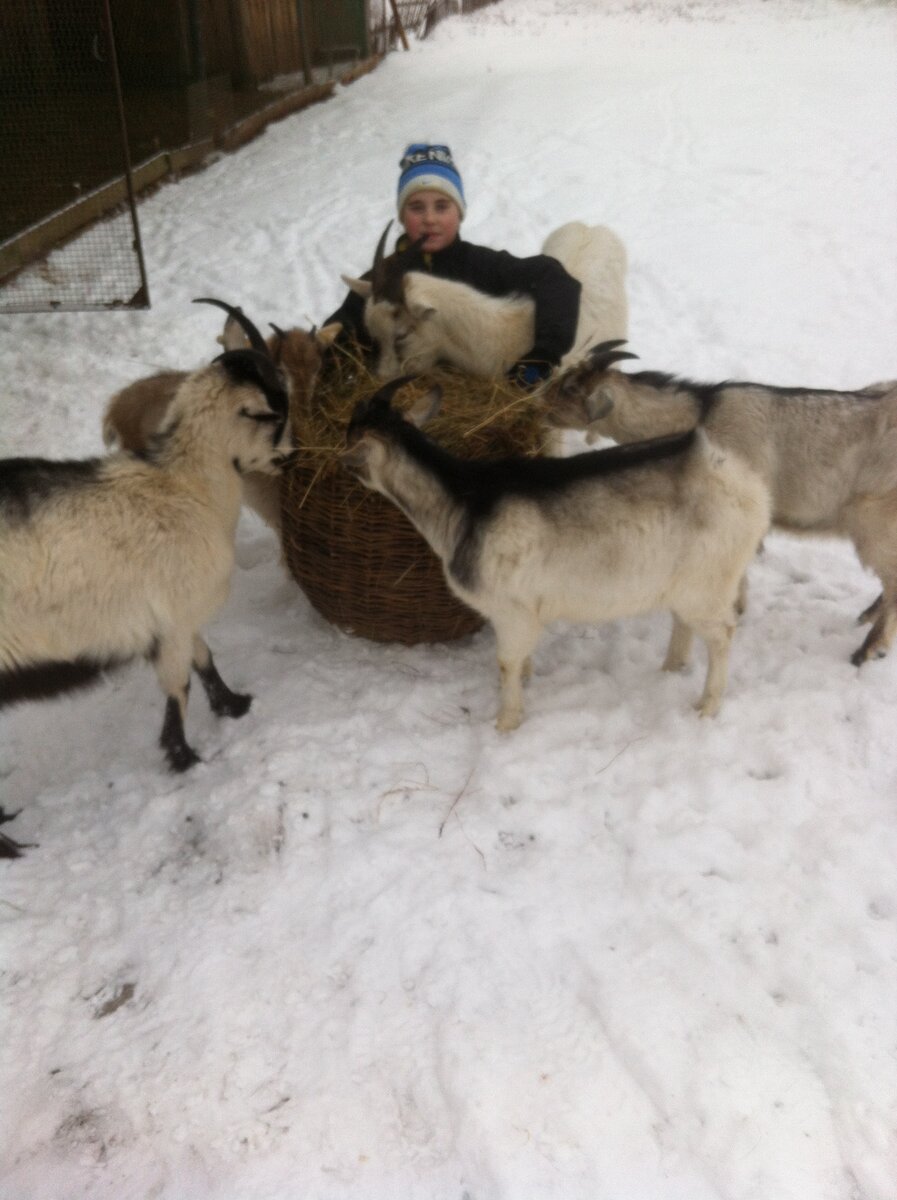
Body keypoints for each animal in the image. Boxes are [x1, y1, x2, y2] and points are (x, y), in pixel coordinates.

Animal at [0, 297, 296, 777]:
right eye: (280, 409)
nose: (291, 458)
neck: (186, 486)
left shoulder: (181, 618)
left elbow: (205, 659)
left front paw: (234, 704)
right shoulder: (171, 621)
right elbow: (180, 689)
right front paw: (186, 759)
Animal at [340, 379, 767, 729]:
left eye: (350, 439)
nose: (341, 462)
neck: (464, 503)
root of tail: (748, 488)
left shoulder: (511, 611)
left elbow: (506, 663)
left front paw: (506, 723)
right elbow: (520, 661)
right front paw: (527, 681)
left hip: (707, 586)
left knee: (723, 635)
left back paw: (706, 707)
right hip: (685, 586)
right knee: (685, 623)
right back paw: (670, 667)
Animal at [542, 343, 897, 667]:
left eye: (571, 388)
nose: (537, 398)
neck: (702, 414)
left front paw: (735, 608)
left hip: (875, 523)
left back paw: (867, 651)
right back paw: (866, 617)